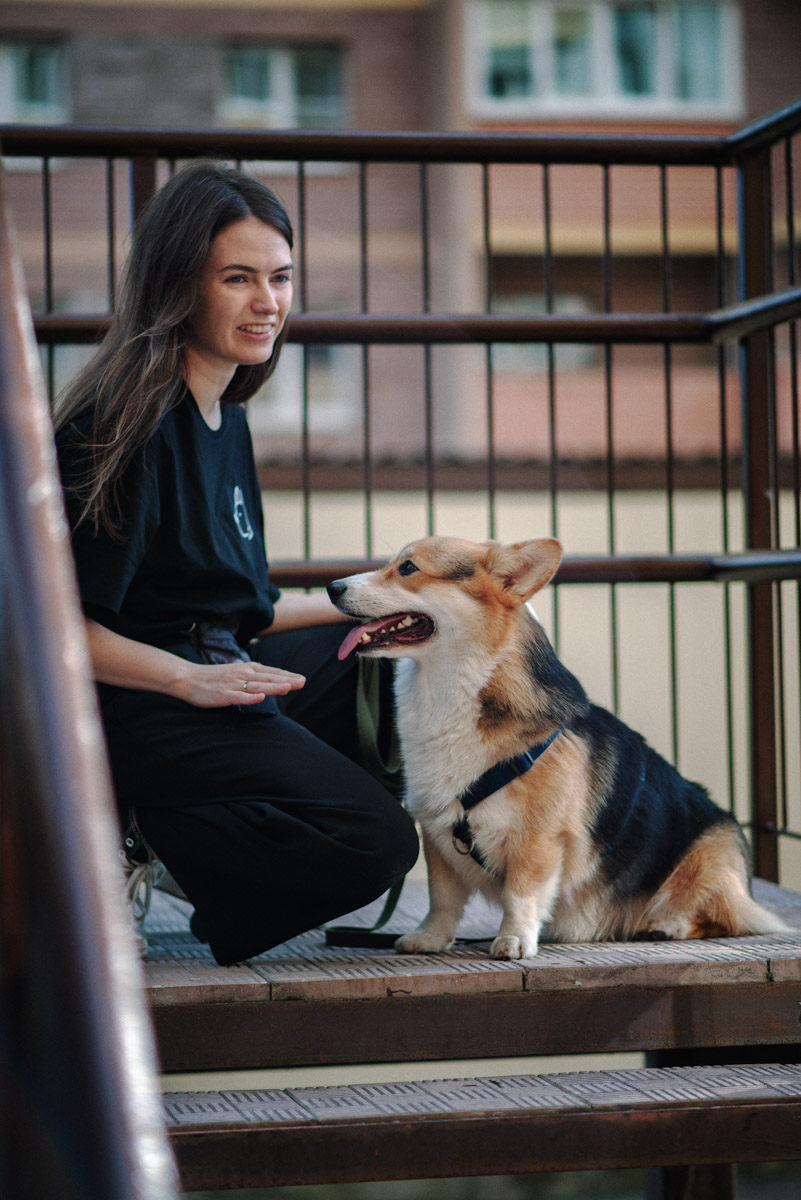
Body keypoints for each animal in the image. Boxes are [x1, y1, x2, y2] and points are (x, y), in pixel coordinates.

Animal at [326, 540, 786, 960]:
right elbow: (442, 899)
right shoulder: (439, 833)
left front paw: (513, 941)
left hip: (707, 858)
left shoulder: (539, 839)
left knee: (728, 917)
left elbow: (521, 895)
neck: (450, 692)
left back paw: (665, 924)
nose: (331, 587)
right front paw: (429, 939)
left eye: (408, 568)